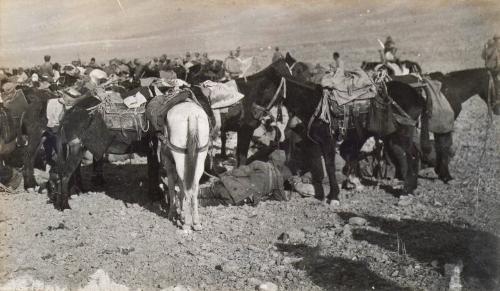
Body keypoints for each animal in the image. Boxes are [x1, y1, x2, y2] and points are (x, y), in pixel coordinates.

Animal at [161, 101, 210, 232]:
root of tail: (191, 114)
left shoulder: (169, 165)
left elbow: (172, 188)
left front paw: (172, 213)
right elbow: (181, 187)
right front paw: (181, 212)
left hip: (179, 158)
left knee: (187, 189)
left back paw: (187, 224)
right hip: (200, 158)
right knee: (193, 189)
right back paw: (196, 223)